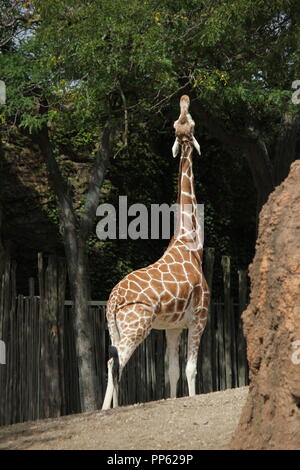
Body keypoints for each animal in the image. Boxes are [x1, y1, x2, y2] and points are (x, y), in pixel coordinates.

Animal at [102, 96, 210, 412]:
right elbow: (191, 369)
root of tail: (113, 301)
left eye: (183, 123)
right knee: (116, 362)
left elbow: (172, 370)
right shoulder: (200, 316)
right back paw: (104, 411)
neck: (190, 243)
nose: (184, 100)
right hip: (136, 326)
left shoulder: (172, 327)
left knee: (112, 361)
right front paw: (192, 400)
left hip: (115, 328)